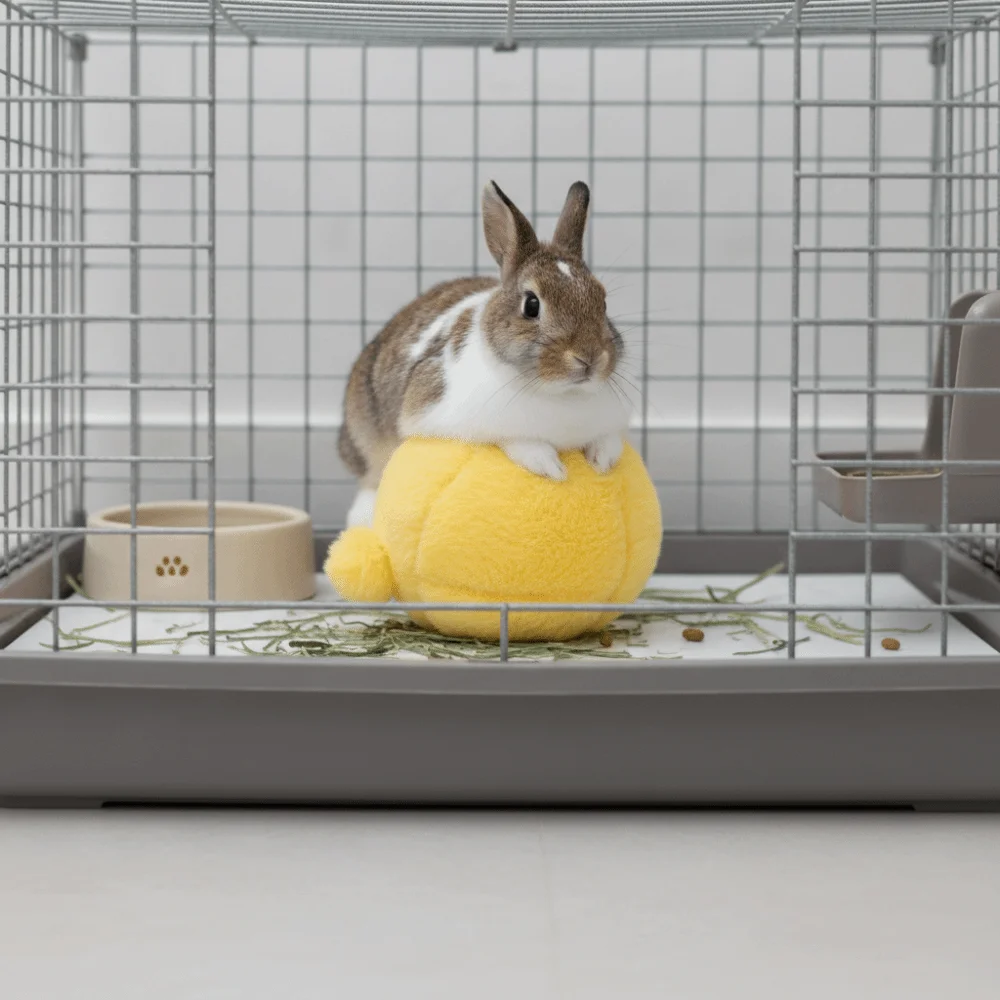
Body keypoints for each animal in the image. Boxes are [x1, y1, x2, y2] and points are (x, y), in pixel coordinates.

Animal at [338, 179, 631, 529]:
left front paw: (604, 460)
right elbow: (512, 438)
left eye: (603, 302)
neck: (560, 394)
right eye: (532, 305)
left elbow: (608, 437)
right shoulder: (443, 415)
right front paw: (548, 465)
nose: (589, 358)